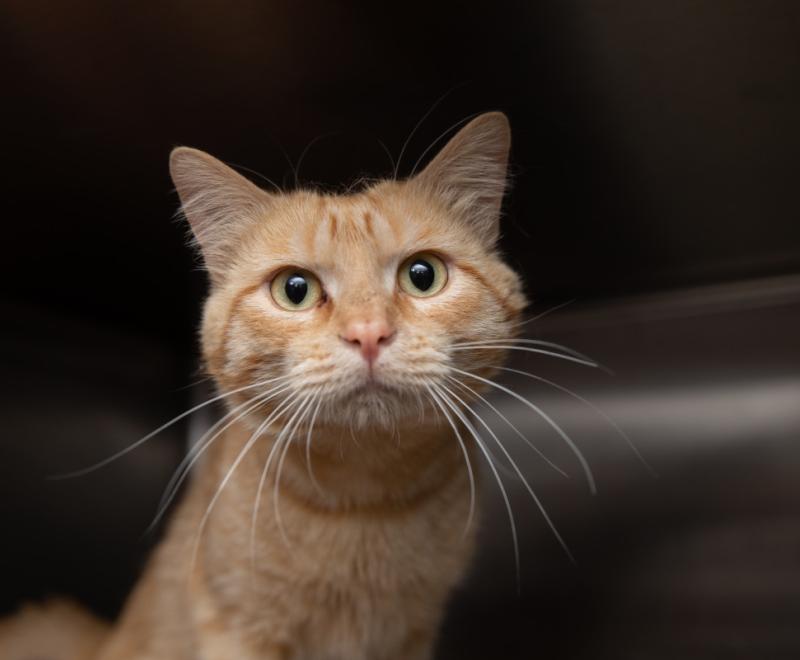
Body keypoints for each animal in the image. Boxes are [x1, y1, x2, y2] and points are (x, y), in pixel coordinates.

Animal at [1, 113, 524, 660]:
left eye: (423, 275)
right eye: (295, 290)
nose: (368, 333)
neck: (363, 503)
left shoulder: (411, 634)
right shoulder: (236, 625)